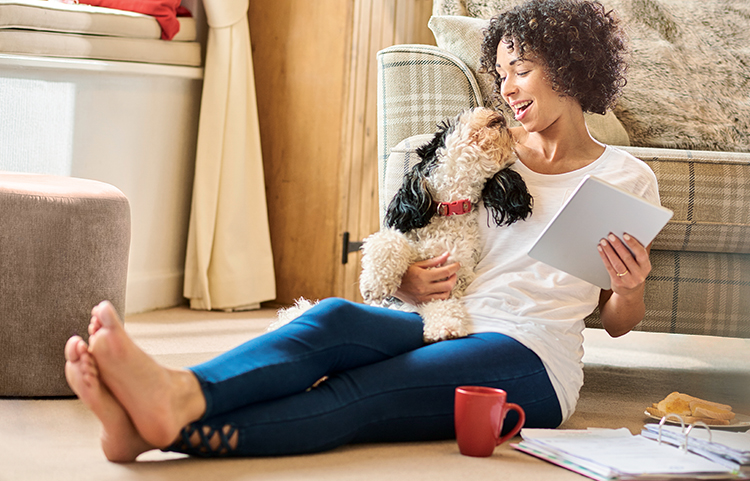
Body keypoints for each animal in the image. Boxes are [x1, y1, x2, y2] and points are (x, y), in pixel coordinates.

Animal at [360, 107, 532, 344]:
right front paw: (374, 284)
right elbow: (387, 241)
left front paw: (445, 327)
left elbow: (444, 305)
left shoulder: (450, 278)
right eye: (449, 125)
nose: (494, 110)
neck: (450, 208)